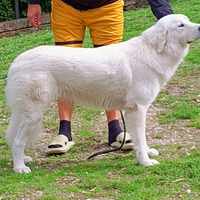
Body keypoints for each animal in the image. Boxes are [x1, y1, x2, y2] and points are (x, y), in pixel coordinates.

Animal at [4, 14, 200, 173]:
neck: (154, 50)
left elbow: (141, 139)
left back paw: (22, 160)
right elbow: (141, 137)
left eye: (188, 20)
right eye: (180, 25)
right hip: (33, 113)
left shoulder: (134, 111)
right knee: (18, 141)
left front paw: (146, 152)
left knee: (15, 139)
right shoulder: (138, 109)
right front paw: (145, 161)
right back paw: (20, 167)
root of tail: (16, 62)